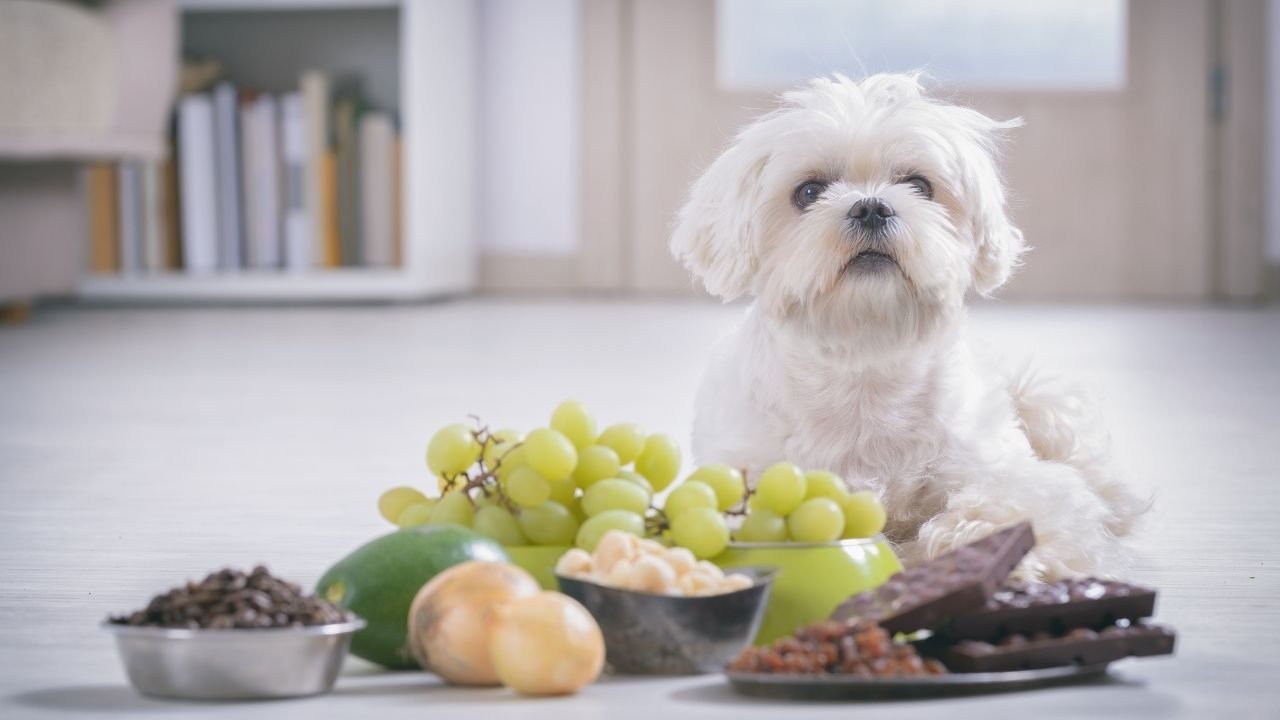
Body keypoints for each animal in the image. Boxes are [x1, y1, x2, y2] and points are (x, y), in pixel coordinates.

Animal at [675, 73, 1146, 576]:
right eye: (808, 192)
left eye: (919, 185)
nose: (870, 207)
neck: (866, 362)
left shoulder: (1003, 471)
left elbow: (1014, 506)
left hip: (1042, 404)